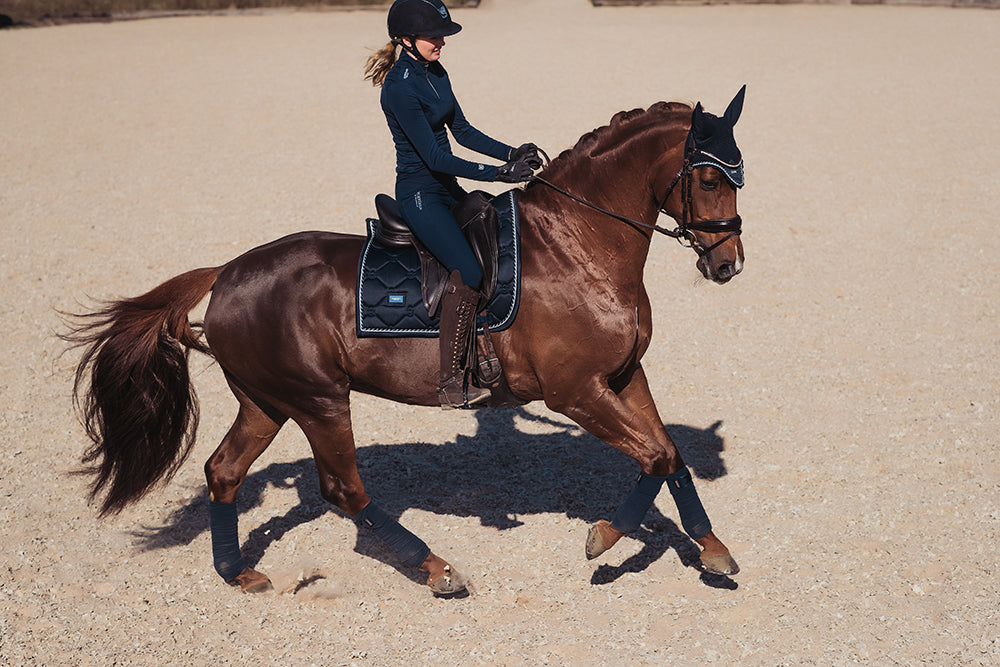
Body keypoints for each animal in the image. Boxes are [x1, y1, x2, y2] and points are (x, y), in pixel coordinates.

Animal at [64, 87, 747, 595]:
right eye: (712, 180)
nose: (729, 265)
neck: (579, 242)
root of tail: (227, 272)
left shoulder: (625, 375)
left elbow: (668, 454)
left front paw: (712, 548)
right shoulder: (575, 392)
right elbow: (652, 456)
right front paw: (605, 538)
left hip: (267, 402)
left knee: (223, 470)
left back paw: (239, 573)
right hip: (319, 401)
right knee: (343, 489)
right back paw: (435, 568)